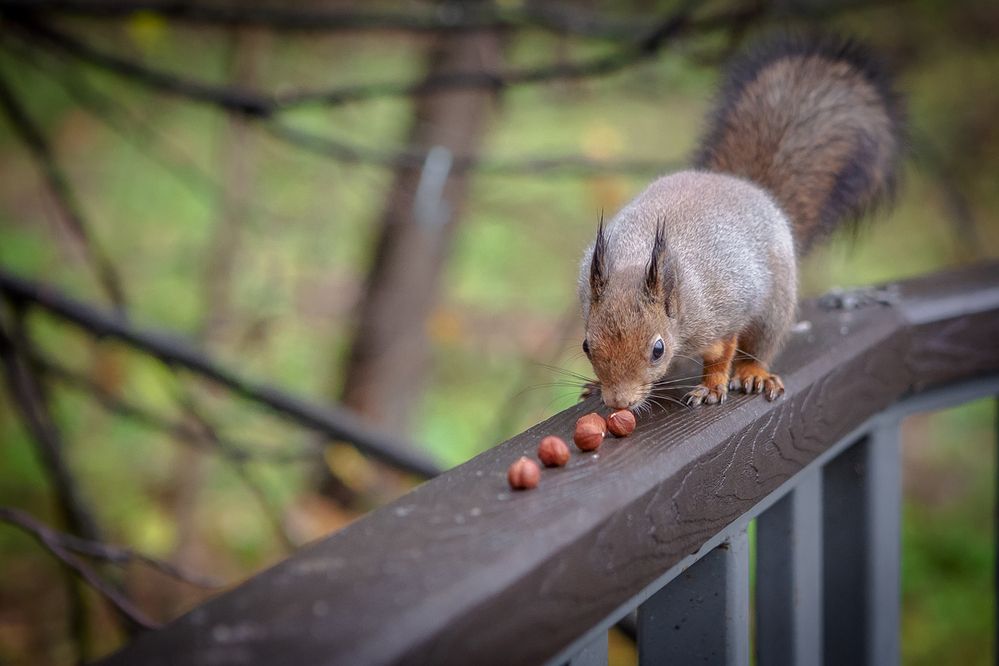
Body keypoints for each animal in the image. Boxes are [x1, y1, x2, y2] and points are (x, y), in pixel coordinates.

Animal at [577, 34, 903, 410]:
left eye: (657, 350)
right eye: (586, 346)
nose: (619, 403)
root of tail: (749, 188)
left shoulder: (726, 308)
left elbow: (722, 352)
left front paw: (712, 386)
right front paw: (594, 385)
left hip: (775, 305)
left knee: (759, 345)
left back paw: (753, 372)